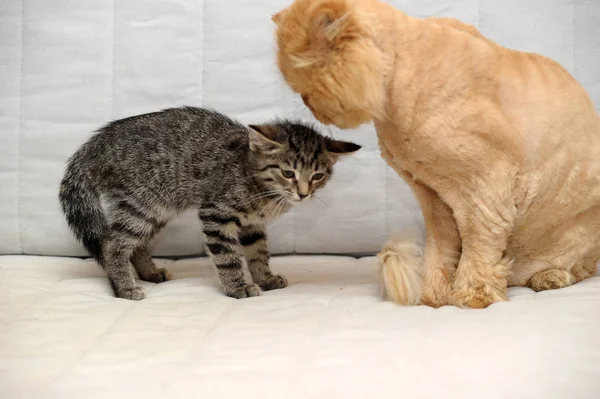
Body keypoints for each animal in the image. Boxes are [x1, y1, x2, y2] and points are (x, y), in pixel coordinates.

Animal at [59, 106, 360, 300]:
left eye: (318, 176)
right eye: (288, 173)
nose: (303, 193)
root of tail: (96, 143)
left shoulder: (253, 224)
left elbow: (258, 252)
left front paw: (265, 278)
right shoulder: (216, 213)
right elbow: (228, 256)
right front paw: (238, 287)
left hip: (156, 208)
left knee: (137, 244)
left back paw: (149, 273)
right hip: (141, 204)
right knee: (112, 244)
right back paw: (125, 288)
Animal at [274, 0, 600, 310]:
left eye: (309, 71)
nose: (306, 101)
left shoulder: (486, 189)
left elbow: (477, 249)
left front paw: (471, 296)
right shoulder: (434, 198)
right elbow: (441, 251)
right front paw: (434, 295)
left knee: (579, 268)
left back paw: (550, 277)